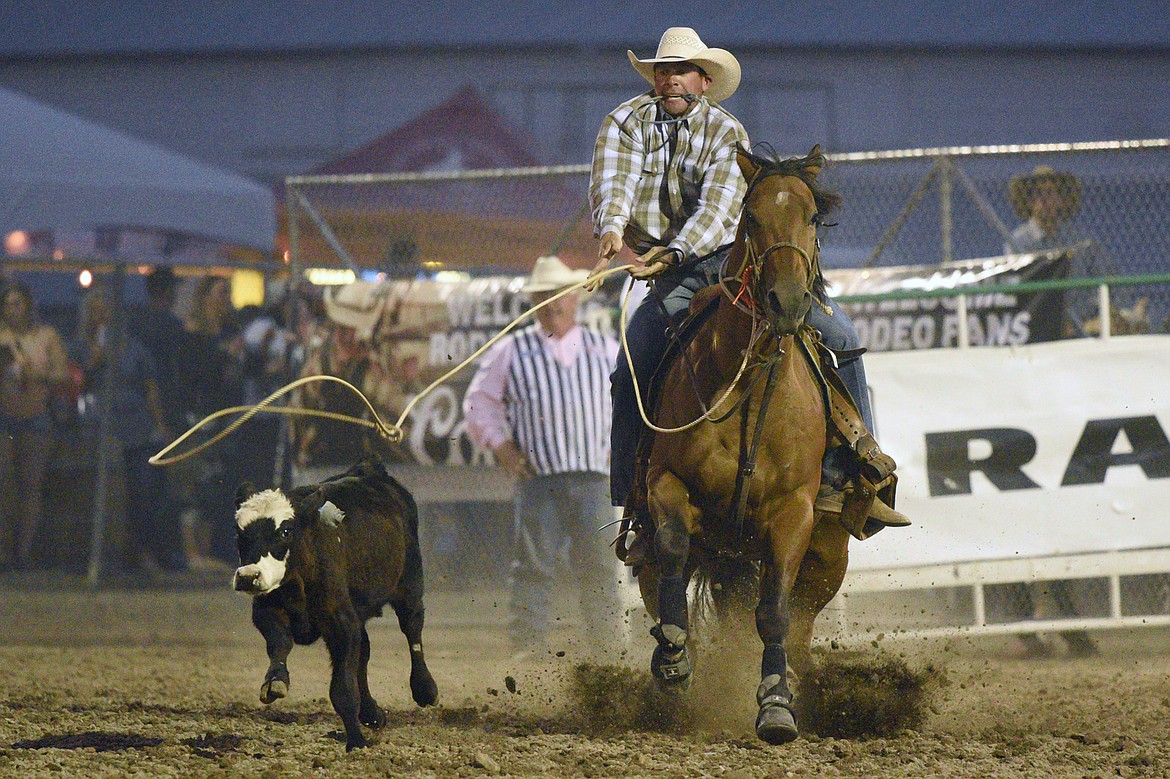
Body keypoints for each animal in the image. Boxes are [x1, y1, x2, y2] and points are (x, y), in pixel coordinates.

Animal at [232, 458, 439, 748]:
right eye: (240, 532)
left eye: (285, 530)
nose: (248, 576)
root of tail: (371, 471)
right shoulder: (267, 610)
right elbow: (280, 643)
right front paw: (276, 680)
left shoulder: (341, 622)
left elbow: (342, 689)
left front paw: (357, 742)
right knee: (364, 649)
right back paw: (371, 712)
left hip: (409, 584)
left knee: (412, 629)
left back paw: (424, 688)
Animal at [641, 143, 851, 739]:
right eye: (751, 217)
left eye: (812, 217)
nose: (787, 302)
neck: (751, 383)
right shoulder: (665, 482)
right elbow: (672, 552)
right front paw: (673, 658)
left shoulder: (795, 512)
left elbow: (774, 612)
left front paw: (776, 704)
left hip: (828, 559)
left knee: (799, 630)